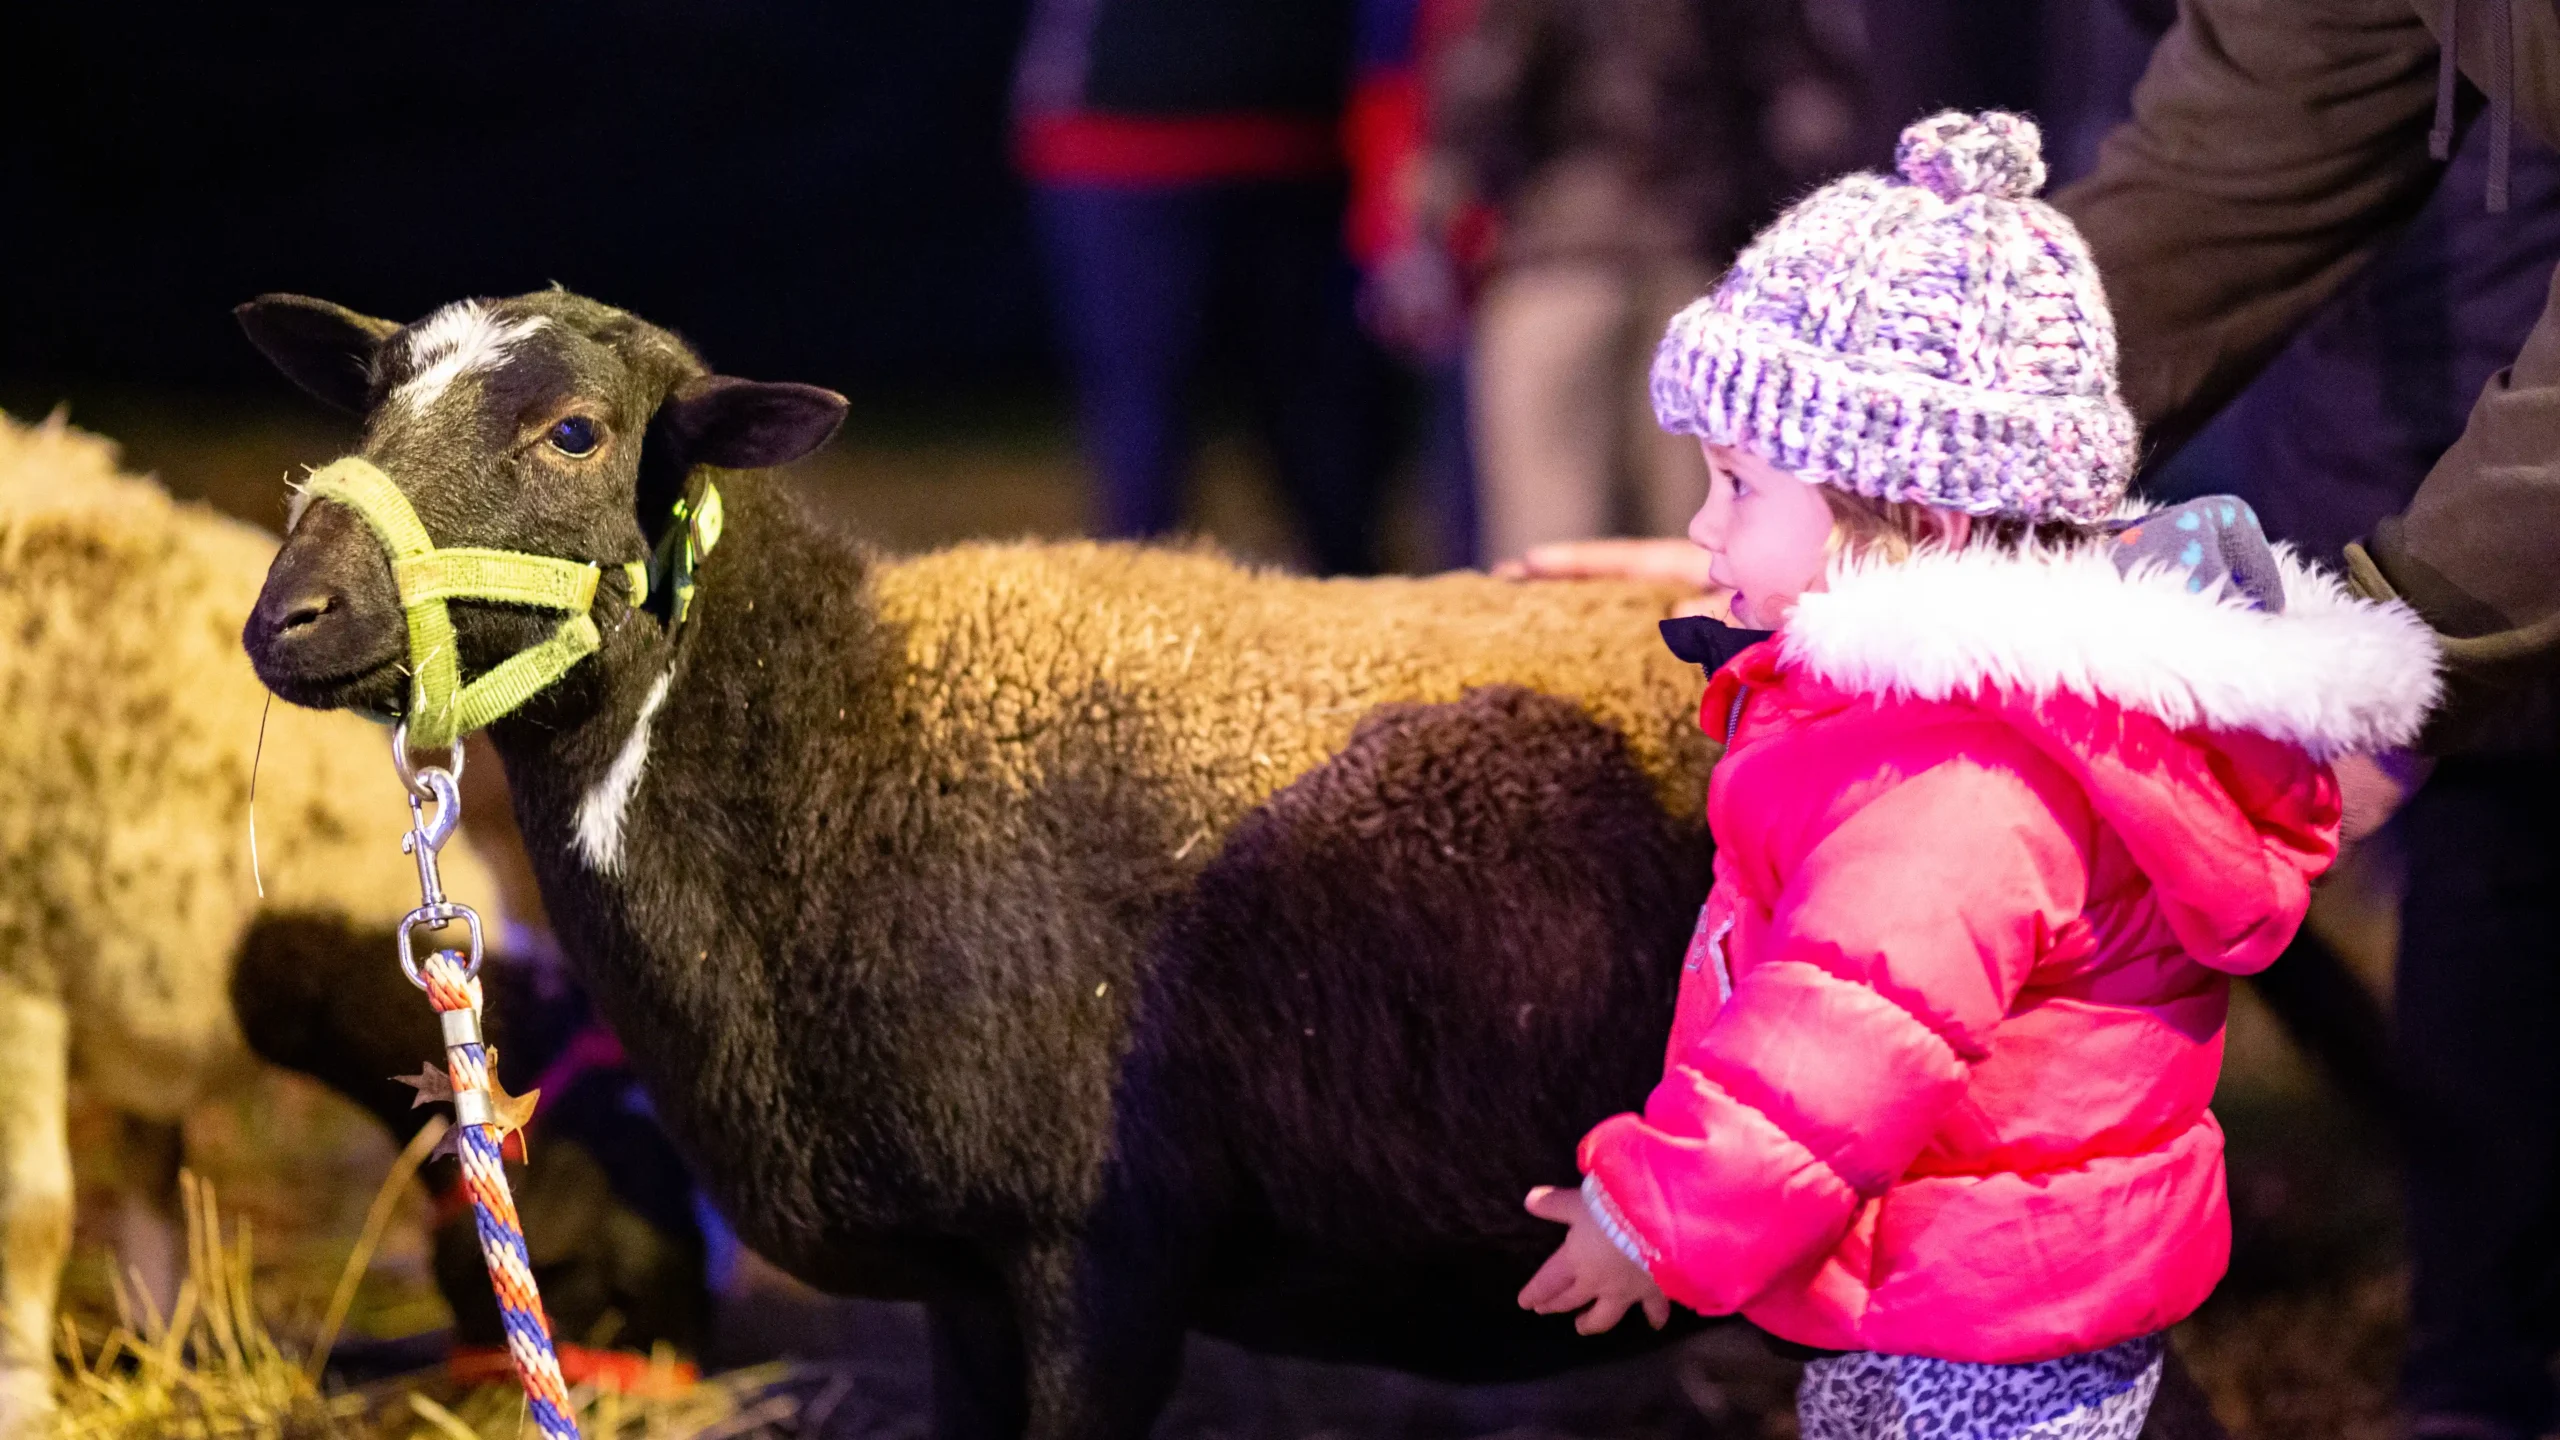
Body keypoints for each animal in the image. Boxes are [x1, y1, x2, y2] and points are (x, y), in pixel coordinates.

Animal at [0, 409, 512, 1424]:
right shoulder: (20, 958)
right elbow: (34, 1214)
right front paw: (23, 1396)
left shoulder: (142, 1002)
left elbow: (154, 1209)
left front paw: (162, 1361)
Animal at [235, 285, 1720, 1424]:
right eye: (368, 410)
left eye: (575, 433)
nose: (287, 614)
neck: (837, 744)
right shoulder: (967, 1282)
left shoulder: (1094, 1254)